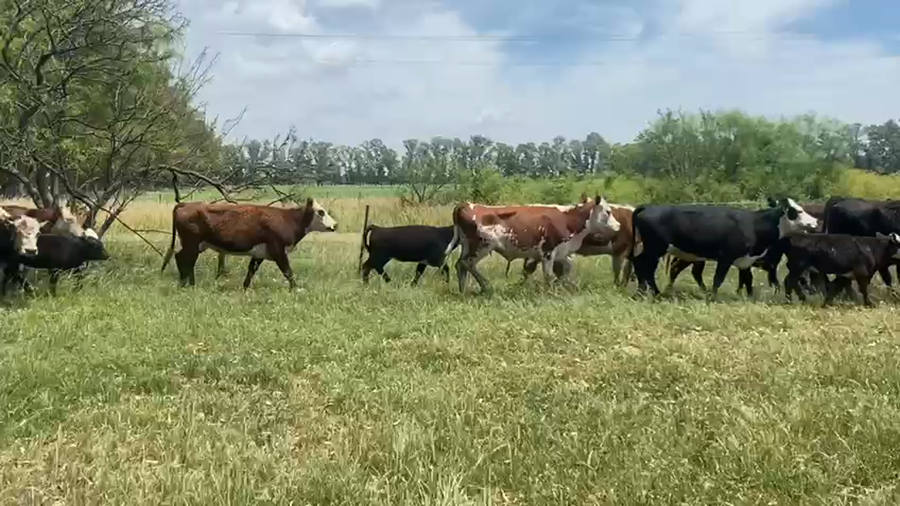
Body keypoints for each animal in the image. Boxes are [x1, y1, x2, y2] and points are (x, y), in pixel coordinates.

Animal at [159, 199, 337, 289]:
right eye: (321, 212)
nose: (335, 225)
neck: (288, 219)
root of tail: (186, 204)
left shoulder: (260, 253)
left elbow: (251, 270)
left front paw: (245, 288)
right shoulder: (278, 251)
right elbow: (288, 271)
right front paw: (296, 288)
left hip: (195, 245)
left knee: (186, 260)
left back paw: (190, 284)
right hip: (191, 243)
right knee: (182, 258)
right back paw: (185, 284)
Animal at [446, 195, 622, 295]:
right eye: (608, 211)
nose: (619, 226)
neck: (568, 219)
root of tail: (467, 204)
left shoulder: (560, 252)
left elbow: (567, 267)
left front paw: (559, 285)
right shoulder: (548, 252)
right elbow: (549, 274)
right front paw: (550, 291)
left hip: (468, 245)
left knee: (460, 265)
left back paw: (463, 290)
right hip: (481, 246)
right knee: (467, 264)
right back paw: (486, 286)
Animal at [630, 198, 820, 299]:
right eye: (798, 211)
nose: (816, 222)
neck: (754, 224)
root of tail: (649, 206)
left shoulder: (745, 261)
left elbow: (748, 280)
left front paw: (749, 298)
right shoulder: (726, 257)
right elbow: (718, 279)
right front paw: (712, 297)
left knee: (640, 265)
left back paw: (644, 292)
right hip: (655, 249)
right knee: (646, 268)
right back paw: (655, 293)